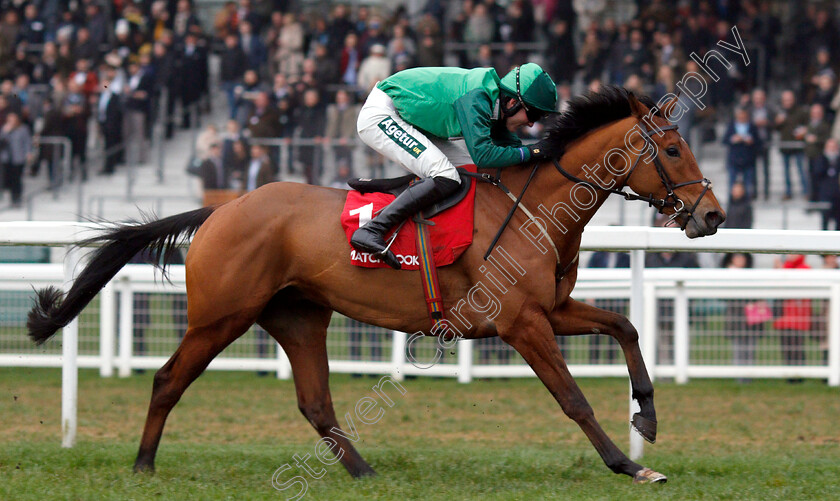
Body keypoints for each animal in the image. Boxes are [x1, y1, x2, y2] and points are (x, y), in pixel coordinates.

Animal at [26, 87, 720, 484]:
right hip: (220, 315)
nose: (711, 215)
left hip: (299, 317)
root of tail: (222, 209)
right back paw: (143, 466)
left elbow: (625, 325)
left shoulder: (550, 308)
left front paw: (647, 415)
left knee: (315, 403)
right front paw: (629, 464)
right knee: (169, 379)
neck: (533, 207)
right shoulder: (522, 323)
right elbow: (573, 398)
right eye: (674, 150)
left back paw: (363, 471)